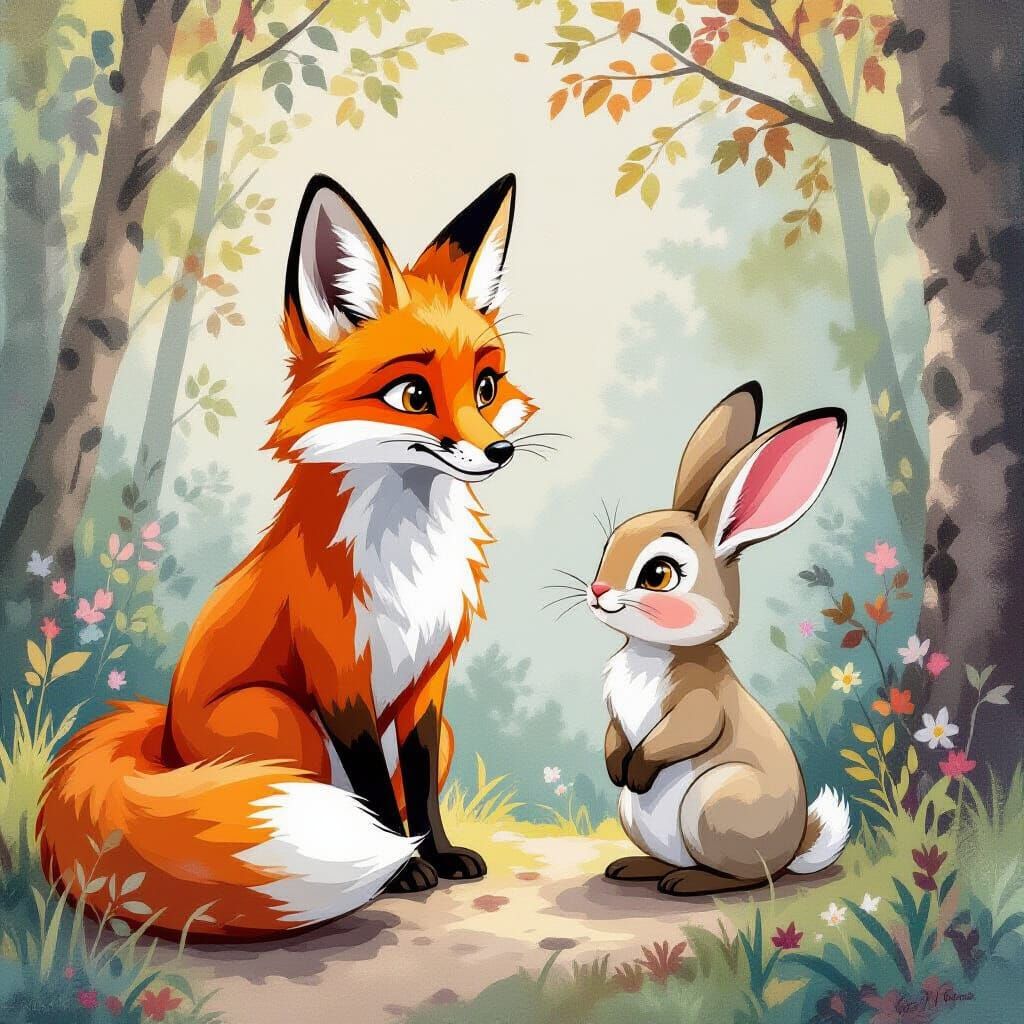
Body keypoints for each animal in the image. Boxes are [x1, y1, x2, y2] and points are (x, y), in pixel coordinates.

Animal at [37, 172, 536, 940]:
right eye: (412, 394)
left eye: (486, 387)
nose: (499, 452)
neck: (408, 559)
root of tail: (165, 734)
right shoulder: (339, 678)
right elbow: (378, 796)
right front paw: (400, 870)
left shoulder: (429, 683)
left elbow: (418, 788)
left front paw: (436, 854)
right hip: (284, 724)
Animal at [587, 382, 850, 897]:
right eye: (607, 546)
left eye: (658, 574)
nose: (597, 590)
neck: (652, 651)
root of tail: (794, 849)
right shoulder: (616, 715)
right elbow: (614, 733)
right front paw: (615, 767)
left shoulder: (700, 703)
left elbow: (686, 732)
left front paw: (636, 771)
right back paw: (635, 868)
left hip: (714, 803)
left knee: (748, 877)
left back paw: (687, 883)